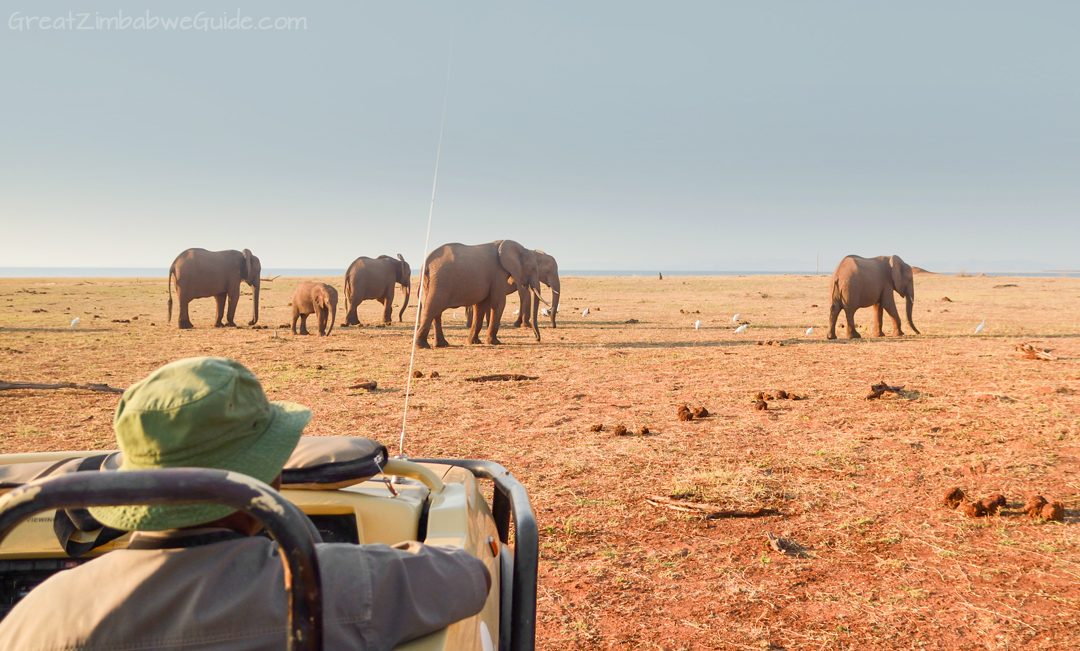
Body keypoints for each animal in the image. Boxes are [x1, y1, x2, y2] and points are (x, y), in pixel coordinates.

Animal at [416, 240, 544, 351]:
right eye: (533, 268)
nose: (537, 339)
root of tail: (426, 263)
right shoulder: (498, 273)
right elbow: (498, 303)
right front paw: (494, 342)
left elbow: (480, 305)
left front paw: (474, 342)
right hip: (440, 281)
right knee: (432, 308)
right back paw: (422, 346)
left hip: (429, 284)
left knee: (435, 311)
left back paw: (442, 345)